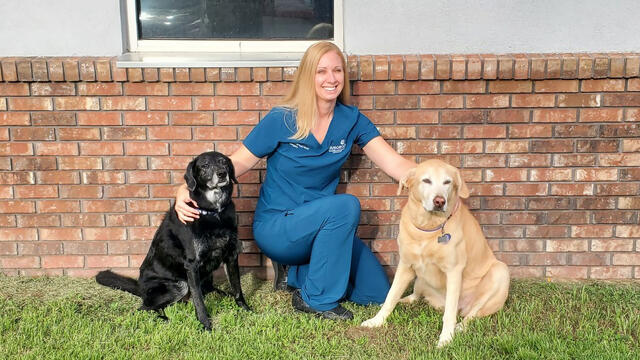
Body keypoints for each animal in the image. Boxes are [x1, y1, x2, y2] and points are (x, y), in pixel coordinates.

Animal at [96, 150, 251, 330]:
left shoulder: (231, 256)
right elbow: (199, 301)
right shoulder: (192, 265)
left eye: (223, 162)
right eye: (204, 165)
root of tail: (140, 287)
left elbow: (237, 288)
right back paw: (164, 319)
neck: (214, 213)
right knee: (143, 308)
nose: (222, 174)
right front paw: (205, 325)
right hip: (178, 286)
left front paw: (246, 310)